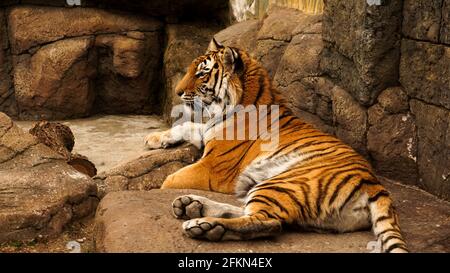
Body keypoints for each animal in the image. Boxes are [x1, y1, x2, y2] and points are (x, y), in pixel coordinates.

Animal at [145, 37, 408, 252]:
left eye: (201, 74)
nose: (177, 92)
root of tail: (374, 184)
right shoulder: (208, 132)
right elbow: (188, 127)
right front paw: (154, 139)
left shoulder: (213, 169)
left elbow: (170, 179)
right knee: (256, 213)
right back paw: (191, 205)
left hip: (283, 183)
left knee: (267, 222)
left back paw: (204, 225)